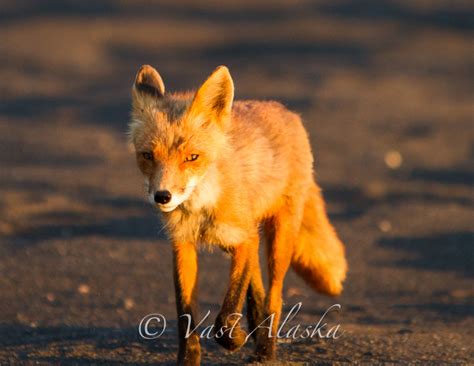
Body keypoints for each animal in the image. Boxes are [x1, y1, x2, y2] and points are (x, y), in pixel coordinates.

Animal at [130, 65, 348, 364]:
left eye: (192, 157)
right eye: (148, 156)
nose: (163, 196)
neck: (200, 208)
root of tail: (287, 112)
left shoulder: (243, 239)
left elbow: (228, 308)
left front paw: (234, 339)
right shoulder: (183, 245)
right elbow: (185, 313)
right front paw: (189, 359)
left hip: (278, 240)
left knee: (274, 295)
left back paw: (265, 350)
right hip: (241, 237)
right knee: (256, 281)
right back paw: (255, 326)